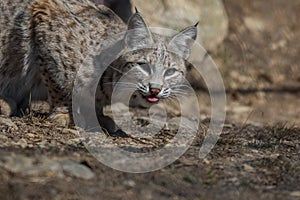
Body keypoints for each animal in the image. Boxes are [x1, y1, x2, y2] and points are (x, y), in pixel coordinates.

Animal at [0, 0, 197, 134]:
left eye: (170, 72)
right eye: (144, 66)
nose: (155, 89)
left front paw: (97, 115)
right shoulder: (44, 12)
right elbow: (59, 83)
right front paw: (64, 114)